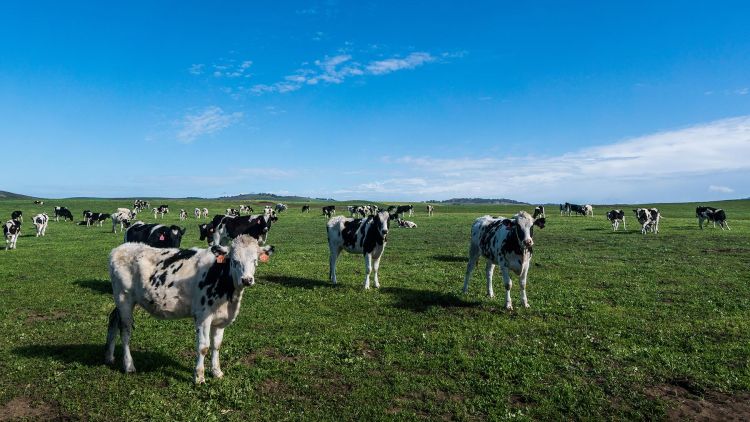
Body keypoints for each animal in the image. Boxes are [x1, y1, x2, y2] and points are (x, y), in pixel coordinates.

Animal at [107, 236, 278, 384]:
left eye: (255, 260)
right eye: (234, 260)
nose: (247, 280)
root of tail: (121, 248)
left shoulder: (221, 319)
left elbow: (216, 345)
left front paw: (217, 371)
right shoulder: (203, 316)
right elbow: (203, 347)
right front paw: (199, 377)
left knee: (113, 319)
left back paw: (109, 357)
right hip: (124, 299)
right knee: (125, 331)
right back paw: (129, 366)